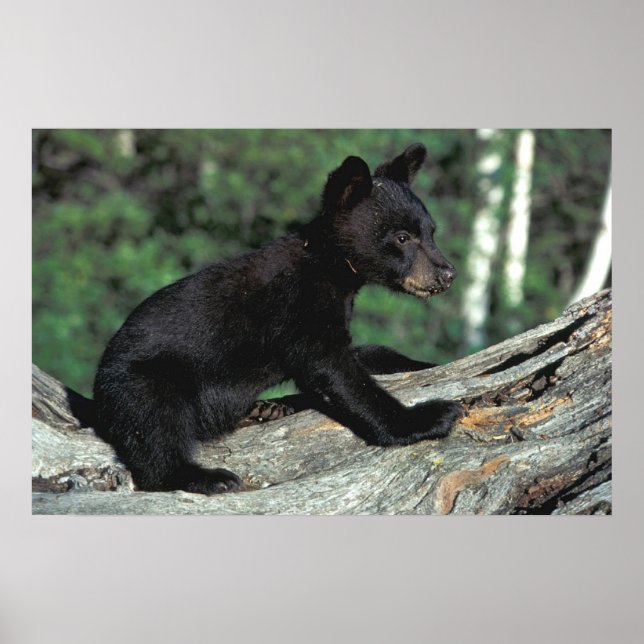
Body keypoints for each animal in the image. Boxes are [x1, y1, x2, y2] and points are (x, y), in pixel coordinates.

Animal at [93, 143, 463, 495]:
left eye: (431, 231)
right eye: (402, 237)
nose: (447, 274)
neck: (329, 269)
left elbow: (364, 354)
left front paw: (426, 365)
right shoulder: (298, 307)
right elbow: (336, 371)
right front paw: (430, 417)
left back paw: (265, 410)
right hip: (144, 378)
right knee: (155, 426)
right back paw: (208, 476)